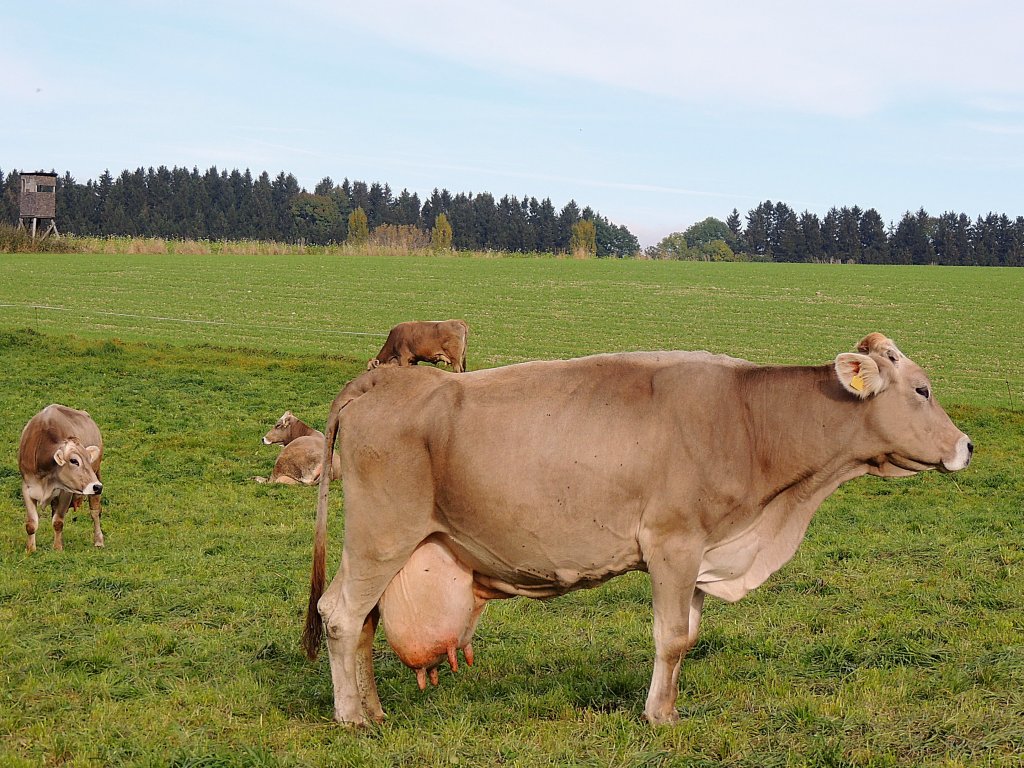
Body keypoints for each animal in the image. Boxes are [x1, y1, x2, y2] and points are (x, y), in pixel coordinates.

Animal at [18, 403, 105, 552]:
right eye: (74, 461)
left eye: (89, 459)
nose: (97, 486)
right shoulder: (27, 487)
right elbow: (31, 523)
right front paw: (30, 550)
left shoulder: (66, 492)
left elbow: (58, 522)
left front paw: (58, 548)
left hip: (97, 474)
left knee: (95, 511)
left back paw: (98, 540)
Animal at [299, 331, 970, 729]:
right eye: (922, 389)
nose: (966, 445)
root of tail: (382, 378)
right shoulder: (674, 543)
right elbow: (670, 638)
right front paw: (657, 718)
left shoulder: (702, 553)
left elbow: (689, 637)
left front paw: (668, 709)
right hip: (380, 537)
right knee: (340, 614)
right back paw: (351, 717)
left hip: (392, 545)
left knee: (364, 623)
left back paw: (374, 708)